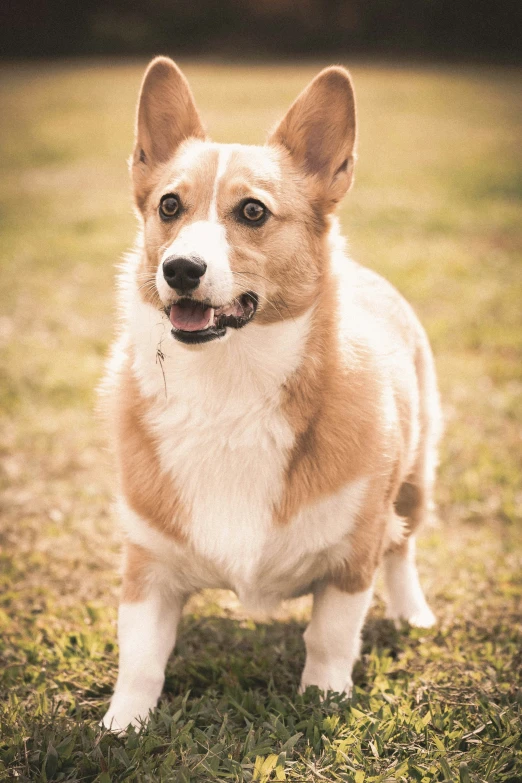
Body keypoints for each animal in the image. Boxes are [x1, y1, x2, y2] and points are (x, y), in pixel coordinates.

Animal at [100, 58, 438, 732]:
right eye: (168, 205)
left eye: (253, 212)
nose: (180, 269)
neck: (229, 390)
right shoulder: (147, 567)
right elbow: (141, 658)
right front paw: (121, 726)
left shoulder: (351, 560)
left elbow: (329, 639)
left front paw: (323, 701)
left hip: (416, 479)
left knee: (404, 547)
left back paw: (412, 612)